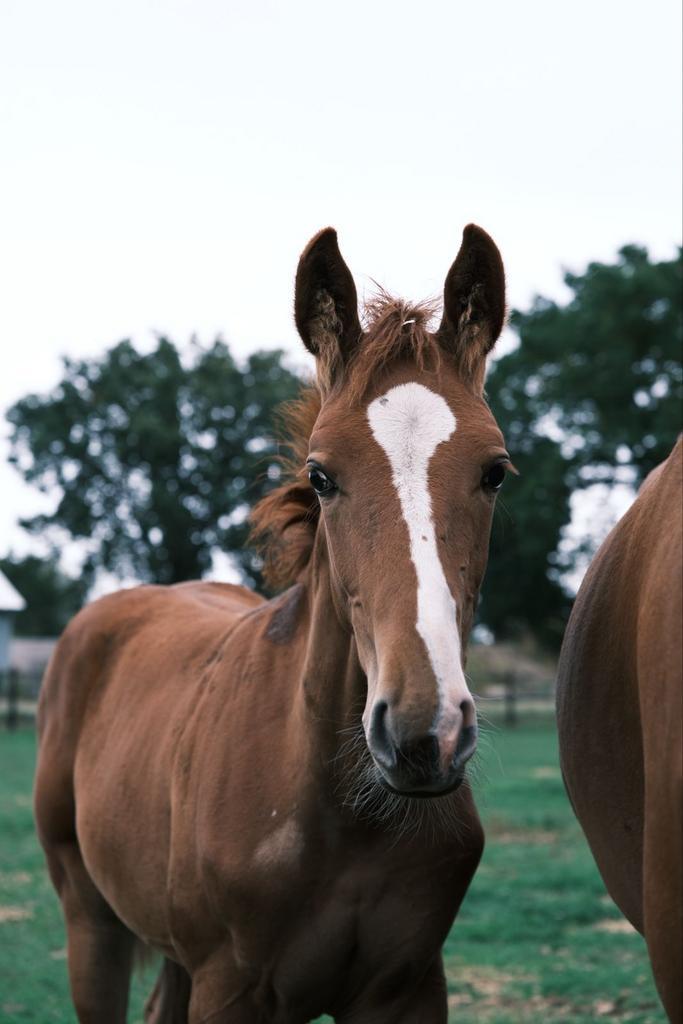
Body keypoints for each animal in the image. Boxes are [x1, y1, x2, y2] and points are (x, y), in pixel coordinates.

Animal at [35, 223, 513, 1024]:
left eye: (495, 471)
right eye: (320, 476)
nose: (426, 734)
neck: (341, 816)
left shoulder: (410, 988)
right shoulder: (229, 990)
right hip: (90, 925)